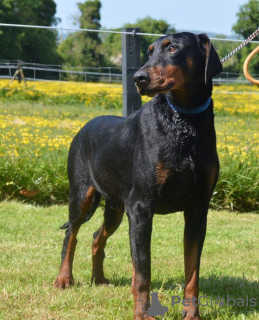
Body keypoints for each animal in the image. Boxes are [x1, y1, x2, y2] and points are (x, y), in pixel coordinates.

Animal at [54, 31, 223, 318]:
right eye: (149, 51)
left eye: (173, 48)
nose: (138, 78)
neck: (184, 122)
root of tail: (83, 127)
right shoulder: (142, 207)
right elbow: (143, 269)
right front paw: (143, 313)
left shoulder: (198, 210)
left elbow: (192, 272)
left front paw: (192, 313)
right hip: (82, 196)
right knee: (71, 235)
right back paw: (64, 278)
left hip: (116, 208)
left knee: (97, 237)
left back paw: (99, 279)